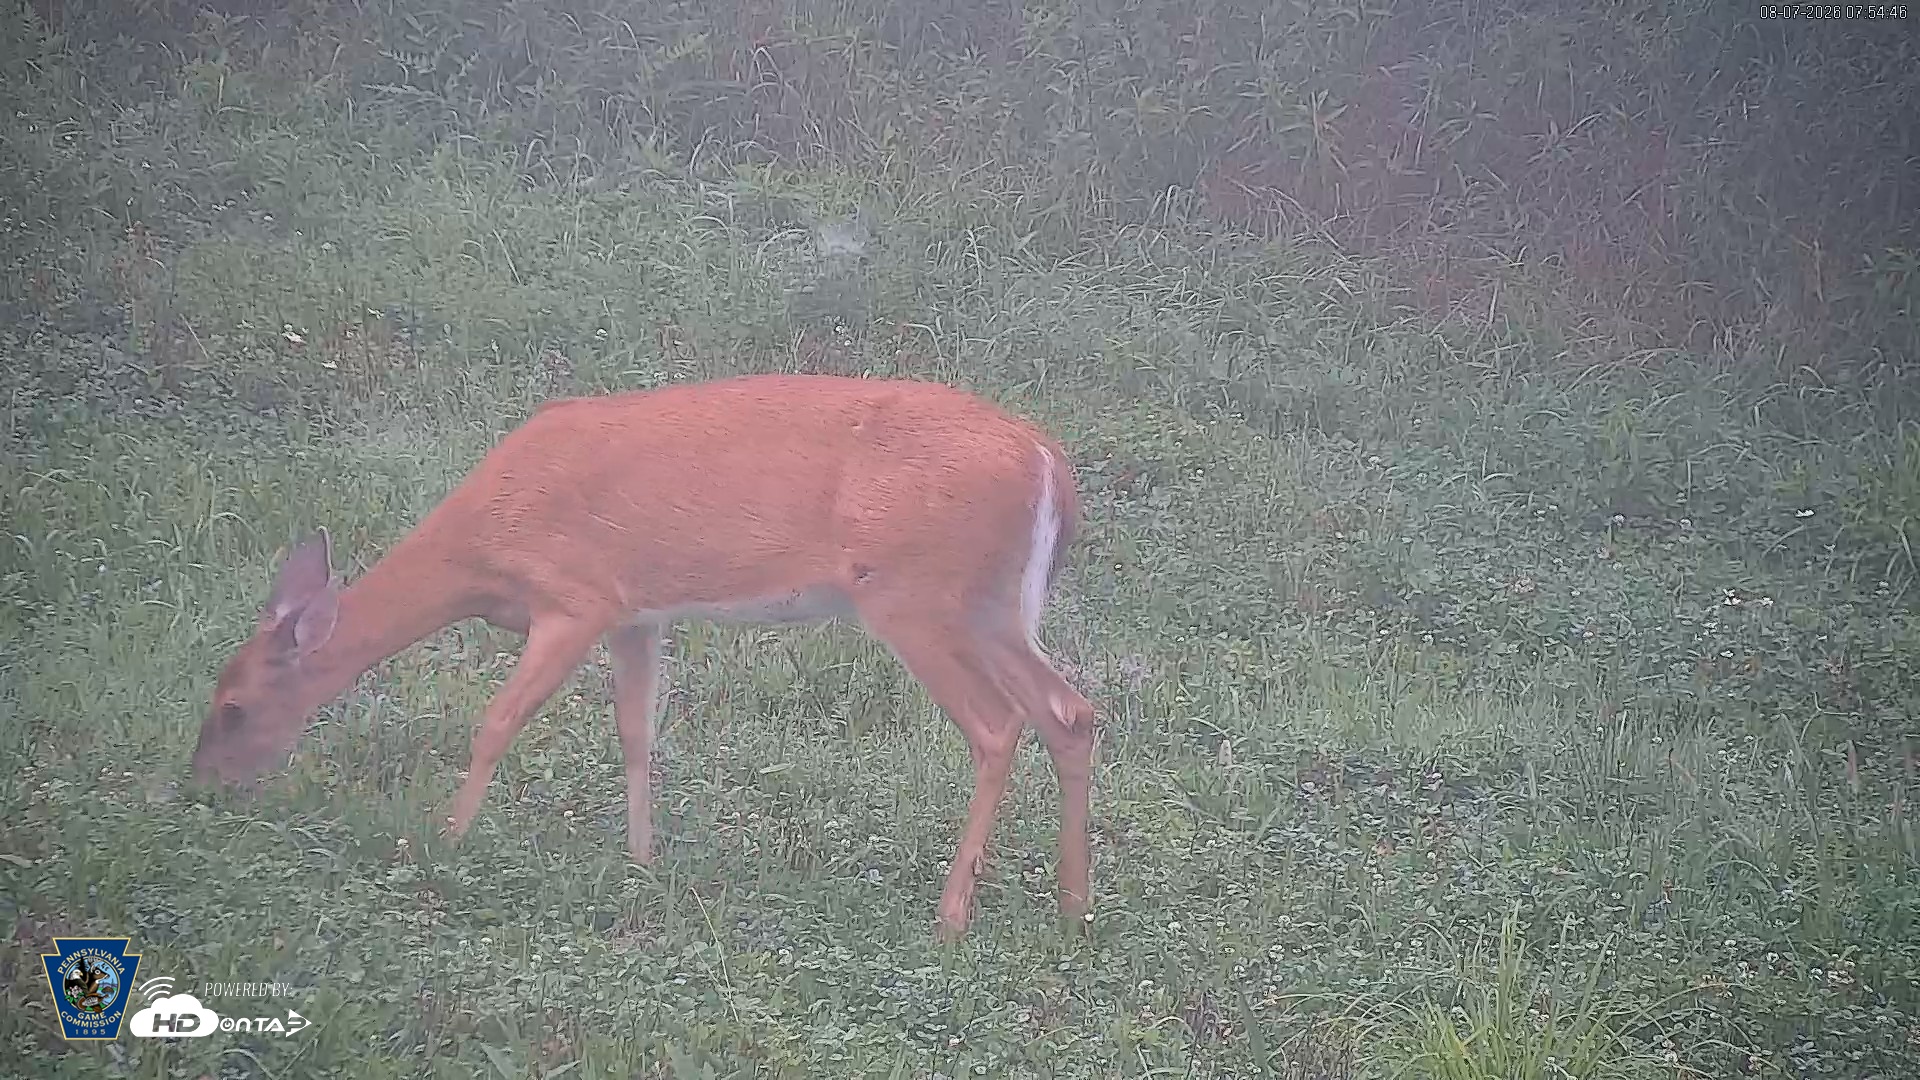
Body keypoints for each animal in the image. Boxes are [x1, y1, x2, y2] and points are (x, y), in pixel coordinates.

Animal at [189, 372, 1096, 940]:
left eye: (233, 708)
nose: (202, 789)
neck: (481, 546)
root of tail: (1048, 460)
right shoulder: (636, 614)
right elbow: (635, 733)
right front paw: (641, 859)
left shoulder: (575, 597)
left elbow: (497, 721)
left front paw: (445, 840)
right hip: (988, 605)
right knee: (1069, 710)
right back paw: (1073, 905)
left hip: (915, 592)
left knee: (998, 724)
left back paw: (952, 914)